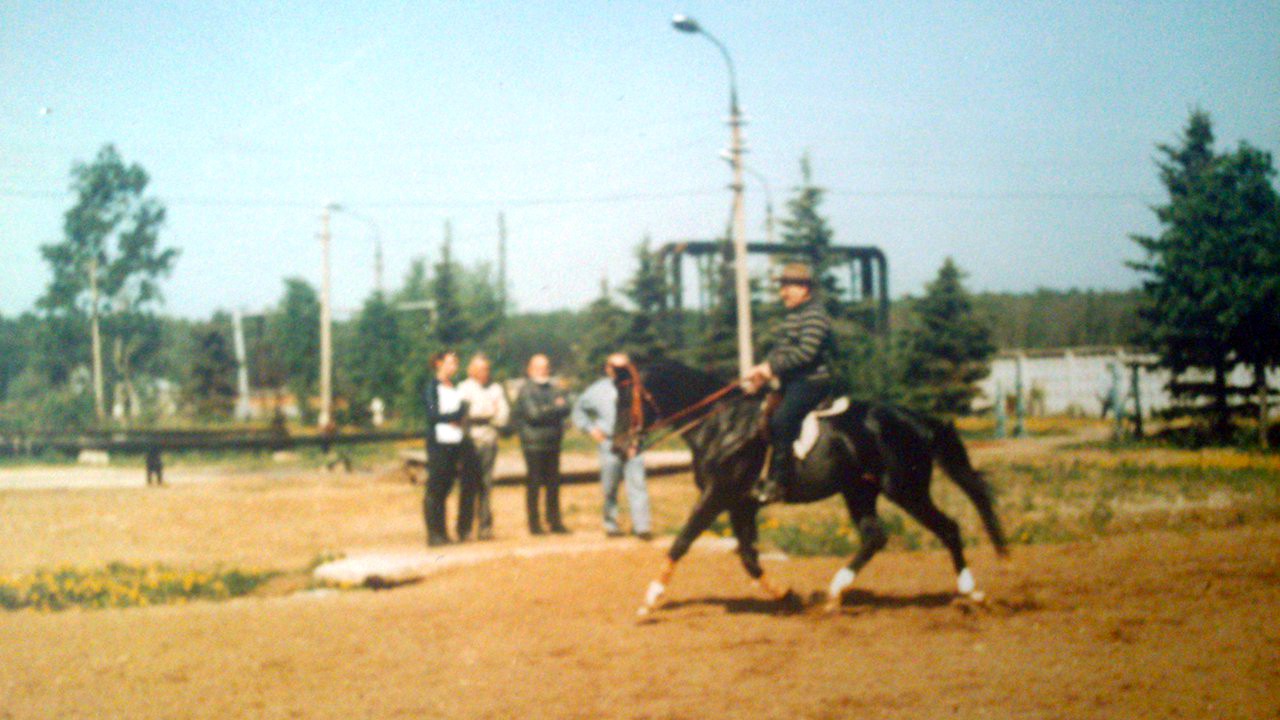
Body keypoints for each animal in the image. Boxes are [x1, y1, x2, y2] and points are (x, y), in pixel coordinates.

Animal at [611, 358, 1008, 609]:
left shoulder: (717, 495)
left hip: (905, 490)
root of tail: (918, 420)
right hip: (859, 491)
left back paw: (971, 593)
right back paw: (832, 592)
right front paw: (784, 594)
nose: (617, 447)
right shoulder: (740, 503)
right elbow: (748, 557)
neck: (720, 424)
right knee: (875, 536)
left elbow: (683, 541)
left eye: (627, 402)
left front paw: (651, 598)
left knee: (948, 528)